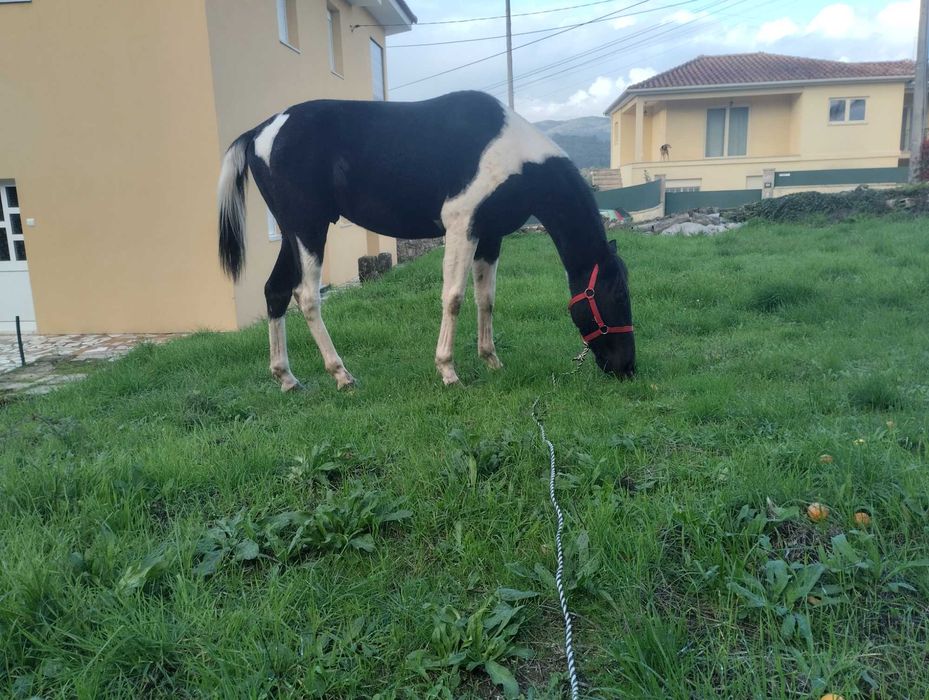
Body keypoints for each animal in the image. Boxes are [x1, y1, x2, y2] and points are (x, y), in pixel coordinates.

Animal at [217, 91, 634, 390]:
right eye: (617, 294)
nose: (627, 367)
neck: (512, 153)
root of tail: (260, 132)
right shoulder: (461, 225)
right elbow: (454, 297)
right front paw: (448, 371)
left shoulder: (489, 236)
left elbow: (486, 299)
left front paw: (491, 360)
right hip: (308, 228)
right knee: (305, 295)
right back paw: (341, 375)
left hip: (292, 232)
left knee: (275, 290)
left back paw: (287, 378)